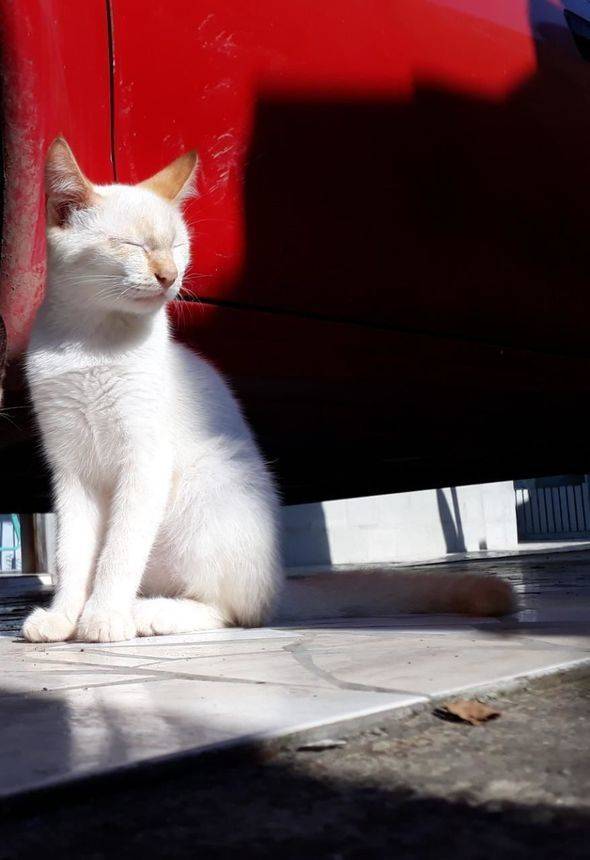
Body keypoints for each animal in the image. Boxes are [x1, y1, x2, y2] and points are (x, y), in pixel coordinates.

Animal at [22, 139, 515, 643]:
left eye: (178, 247)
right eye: (133, 246)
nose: (168, 276)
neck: (90, 343)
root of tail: (279, 584)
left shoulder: (143, 463)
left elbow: (118, 553)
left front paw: (102, 617)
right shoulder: (71, 472)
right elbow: (73, 555)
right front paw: (64, 617)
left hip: (205, 488)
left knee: (235, 610)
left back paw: (147, 612)